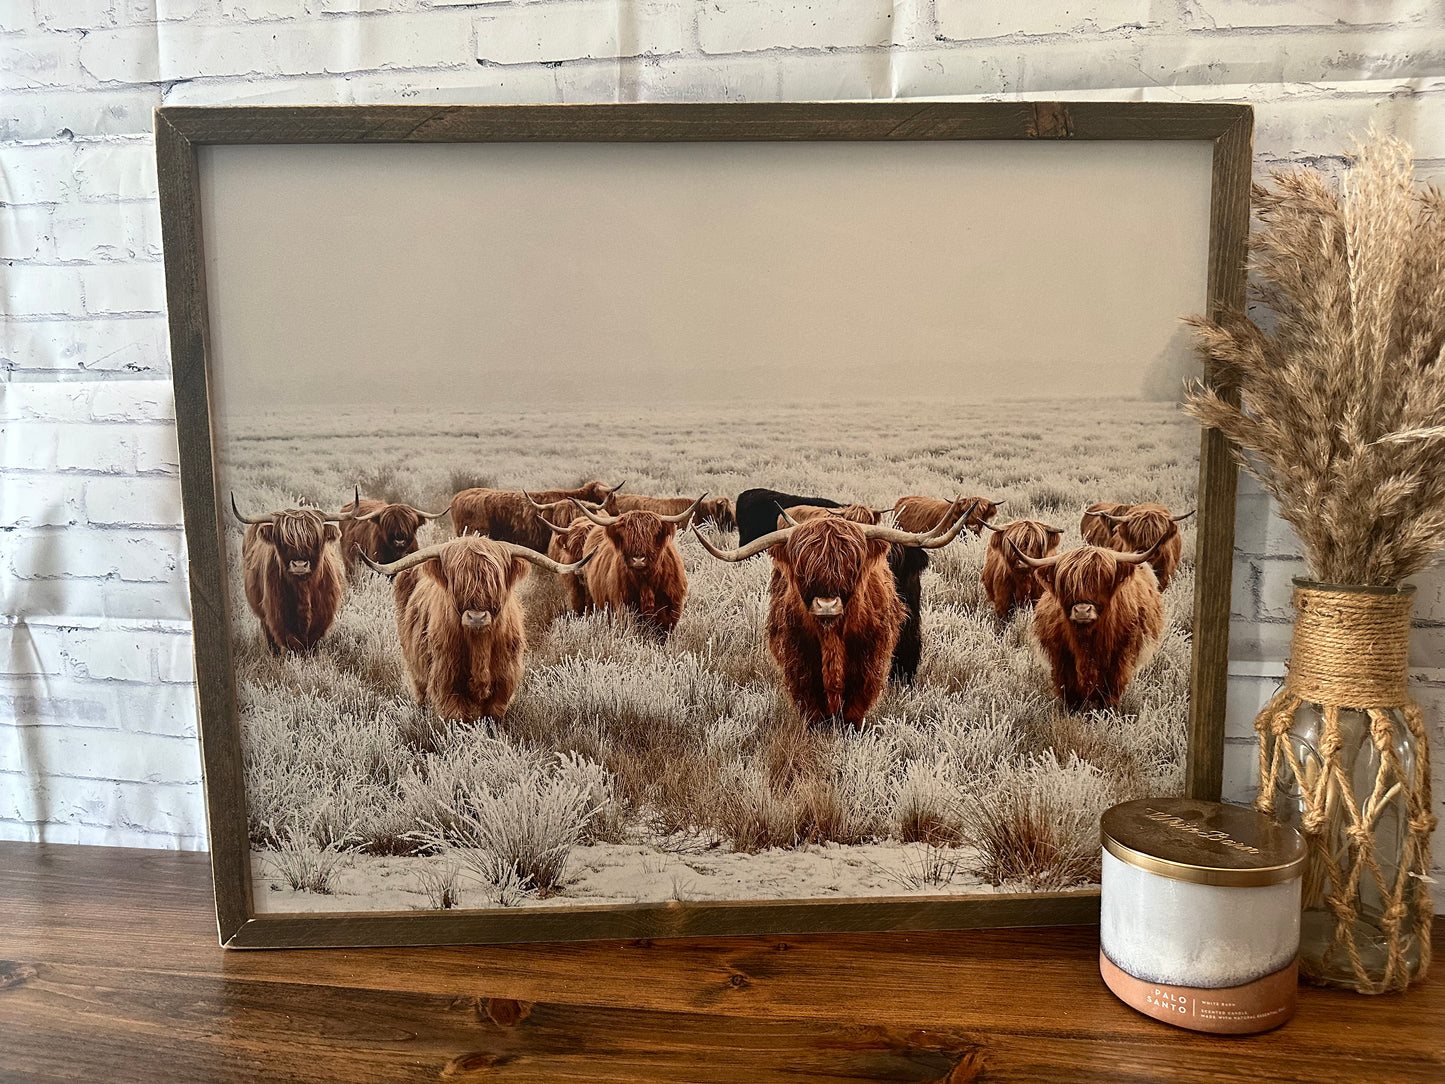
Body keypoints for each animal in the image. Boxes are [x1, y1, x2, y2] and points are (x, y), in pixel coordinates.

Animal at [231, 497, 346, 659]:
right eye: (282, 541)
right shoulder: (277, 615)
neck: (304, 588)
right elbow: (294, 644)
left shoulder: (323, 616)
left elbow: (311, 644)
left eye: (315, 539)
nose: (300, 565)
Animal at [358, 534, 589, 722]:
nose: (476, 617)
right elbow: (459, 720)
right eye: (456, 580)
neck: (479, 645)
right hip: (416, 668)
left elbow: (492, 718)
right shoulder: (447, 682)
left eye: (495, 580)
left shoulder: (504, 682)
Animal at [696, 508, 971, 731]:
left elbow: (855, 703)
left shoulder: (868, 660)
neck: (832, 637)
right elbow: (811, 703)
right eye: (802, 568)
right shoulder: (799, 660)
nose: (827, 605)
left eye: (853, 565)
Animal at [1011, 540, 1167, 713]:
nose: (1082, 610)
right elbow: (1070, 692)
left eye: (1104, 581)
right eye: (1066, 583)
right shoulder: (1061, 659)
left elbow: (1110, 692)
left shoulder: (1120, 659)